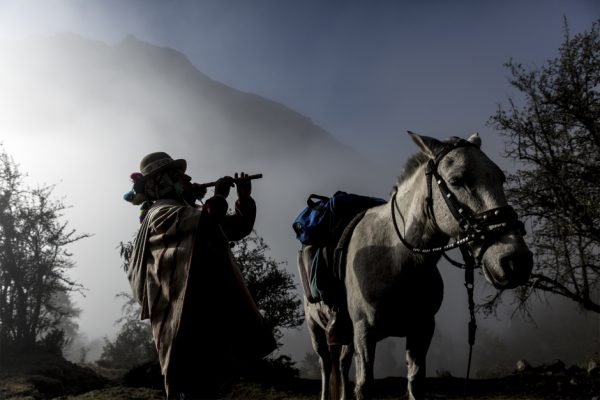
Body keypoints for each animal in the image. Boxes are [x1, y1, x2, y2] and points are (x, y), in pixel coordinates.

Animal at [302, 133, 532, 398]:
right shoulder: (364, 334)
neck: (398, 260)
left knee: (341, 363)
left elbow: (415, 382)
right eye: (457, 180)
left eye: (500, 178)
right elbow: (364, 385)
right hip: (316, 330)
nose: (516, 261)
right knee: (326, 365)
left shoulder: (421, 331)